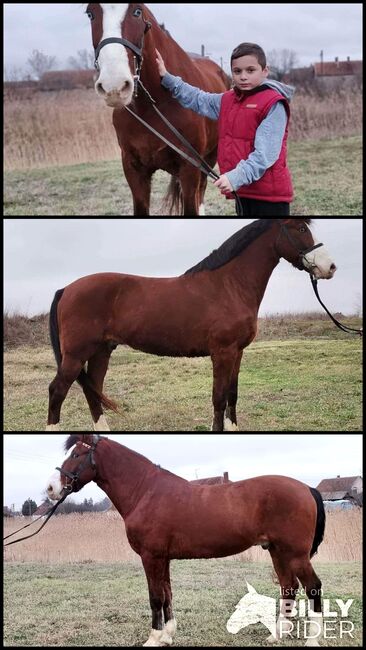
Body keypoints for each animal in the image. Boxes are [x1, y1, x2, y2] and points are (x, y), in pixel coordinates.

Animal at [46, 219, 338, 430]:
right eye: (301, 228)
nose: (330, 267)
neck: (229, 285)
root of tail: (66, 289)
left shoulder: (237, 352)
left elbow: (232, 395)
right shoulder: (223, 352)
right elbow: (219, 398)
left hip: (101, 351)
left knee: (93, 390)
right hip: (76, 354)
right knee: (58, 390)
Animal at [48, 436, 326, 644]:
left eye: (76, 455)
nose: (51, 488)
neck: (145, 491)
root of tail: (306, 488)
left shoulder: (151, 556)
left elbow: (155, 596)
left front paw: (153, 638)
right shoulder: (163, 558)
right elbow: (167, 593)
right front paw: (168, 636)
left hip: (295, 554)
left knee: (312, 586)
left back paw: (312, 639)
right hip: (277, 551)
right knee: (288, 586)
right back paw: (276, 636)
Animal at [86, 3, 229, 215]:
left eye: (137, 11)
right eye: (90, 13)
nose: (115, 85)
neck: (152, 107)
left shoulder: (190, 168)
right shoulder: (133, 169)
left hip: (209, 158)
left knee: (201, 192)